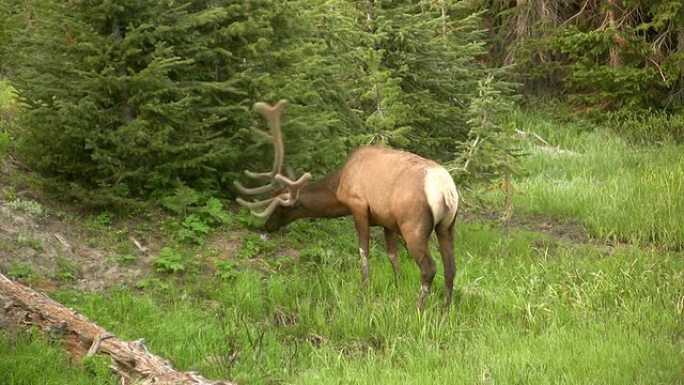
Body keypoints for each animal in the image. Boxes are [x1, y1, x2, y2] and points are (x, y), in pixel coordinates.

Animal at [235, 100, 460, 308]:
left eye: (281, 207)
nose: (267, 226)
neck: (339, 187)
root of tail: (446, 190)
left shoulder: (358, 205)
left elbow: (363, 251)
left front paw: (365, 288)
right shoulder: (387, 220)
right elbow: (392, 255)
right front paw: (398, 284)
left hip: (413, 225)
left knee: (429, 268)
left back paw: (419, 307)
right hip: (447, 226)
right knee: (451, 267)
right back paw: (445, 307)